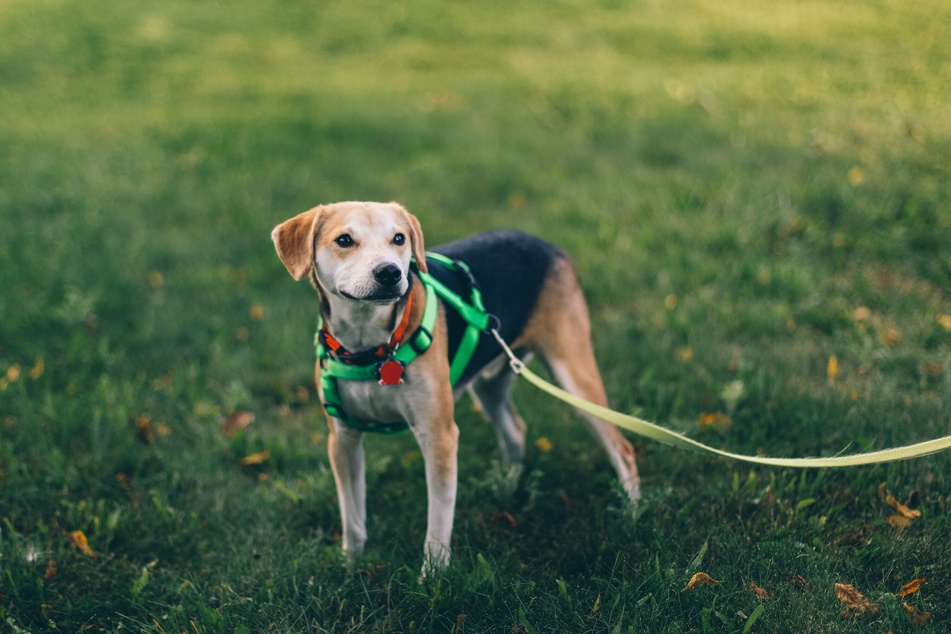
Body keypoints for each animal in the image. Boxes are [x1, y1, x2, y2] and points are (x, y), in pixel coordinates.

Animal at [270, 200, 640, 572]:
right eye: (344, 240)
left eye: (399, 238)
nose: (390, 273)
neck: (372, 347)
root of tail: (546, 245)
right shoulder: (342, 439)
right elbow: (352, 515)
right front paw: (351, 564)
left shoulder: (439, 436)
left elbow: (438, 518)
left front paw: (433, 575)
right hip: (489, 387)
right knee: (515, 429)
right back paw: (509, 485)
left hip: (574, 376)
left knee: (622, 448)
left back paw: (632, 512)